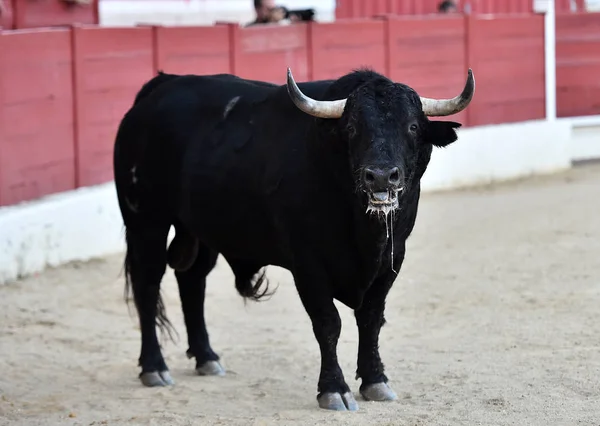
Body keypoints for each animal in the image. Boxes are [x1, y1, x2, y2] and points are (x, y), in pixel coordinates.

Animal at [113, 68, 474, 412]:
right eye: (352, 128)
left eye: (412, 126)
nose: (382, 176)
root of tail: (161, 86)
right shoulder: (308, 264)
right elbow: (328, 323)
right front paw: (334, 390)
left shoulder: (391, 260)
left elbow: (371, 320)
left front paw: (375, 381)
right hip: (146, 222)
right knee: (148, 285)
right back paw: (154, 368)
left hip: (201, 231)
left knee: (192, 281)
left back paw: (207, 358)